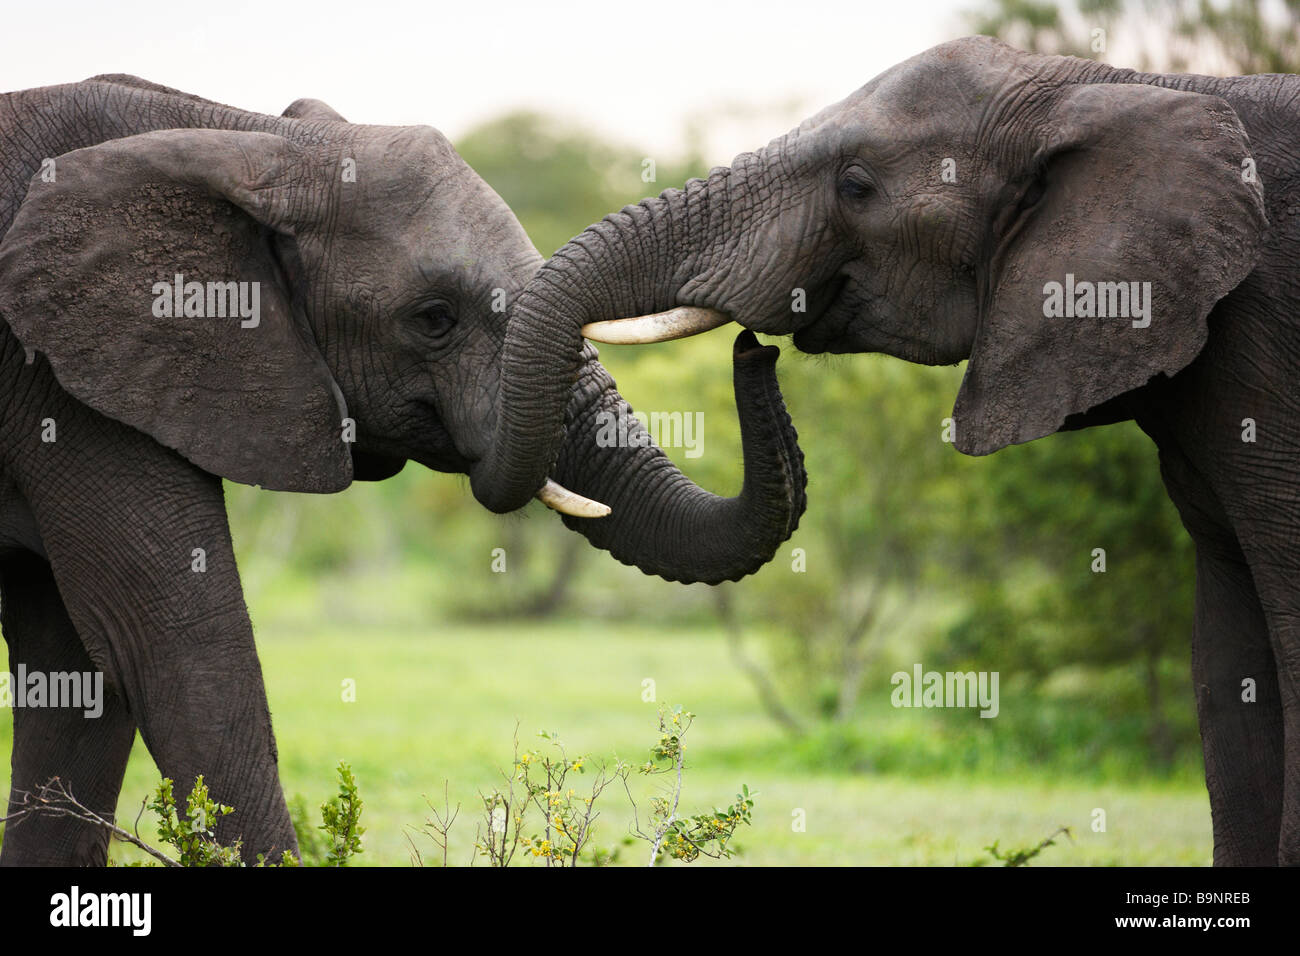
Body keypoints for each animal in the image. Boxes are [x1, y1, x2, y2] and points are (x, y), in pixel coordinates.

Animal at [0, 74, 806, 868]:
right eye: (433, 318)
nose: (755, 344)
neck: (249, 138)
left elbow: (75, 668)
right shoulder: (62, 383)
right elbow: (169, 641)